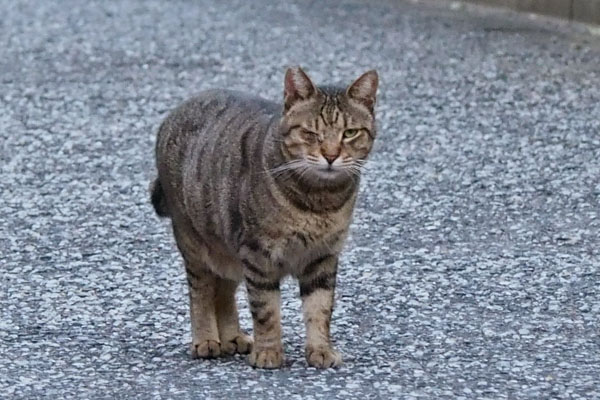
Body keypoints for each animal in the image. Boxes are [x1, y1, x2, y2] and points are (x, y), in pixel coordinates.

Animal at [151, 66, 376, 368]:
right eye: (310, 132)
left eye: (350, 133)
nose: (330, 155)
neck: (320, 200)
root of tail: (175, 110)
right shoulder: (258, 254)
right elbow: (266, 310)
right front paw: (268, 352)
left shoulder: (323, 257)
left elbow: (320, 308)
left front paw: (320, 350)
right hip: (195, 245)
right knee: (201, 292)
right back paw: (206, 340)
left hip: (228, 251)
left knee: (224, 292)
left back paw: (232, 337)